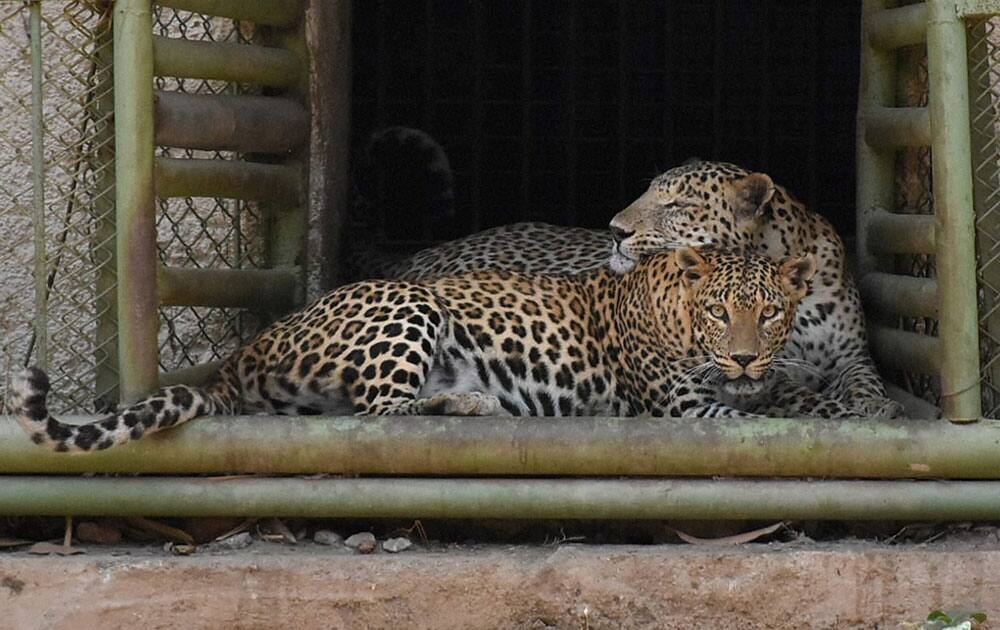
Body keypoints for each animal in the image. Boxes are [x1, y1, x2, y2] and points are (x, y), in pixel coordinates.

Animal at [362, 157, 908, 420]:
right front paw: (858, 412)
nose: (614, 229)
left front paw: (877, 403)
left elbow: (865, 380)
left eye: (677, 205)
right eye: (647, 193)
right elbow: (803, 397)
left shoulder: (851, 354)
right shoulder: (757, 378)